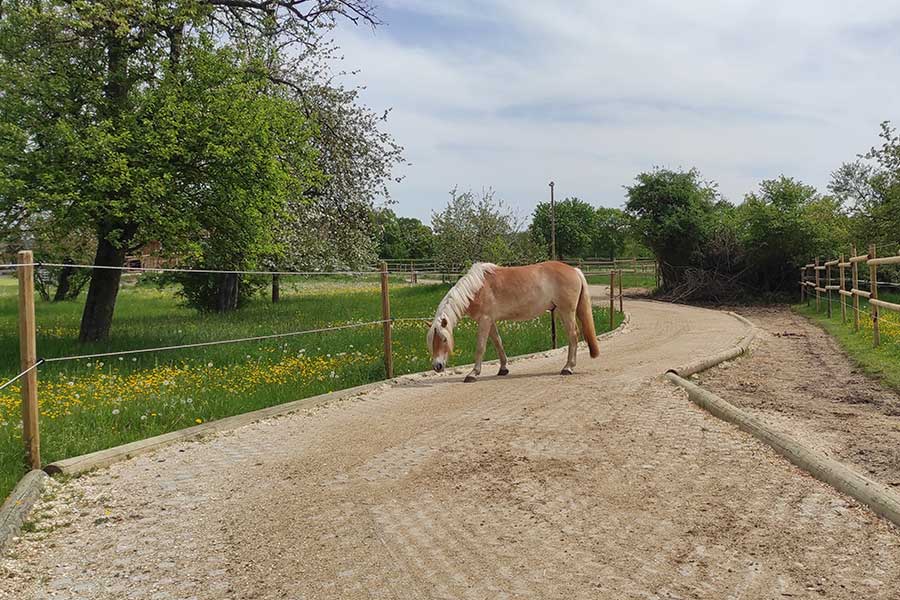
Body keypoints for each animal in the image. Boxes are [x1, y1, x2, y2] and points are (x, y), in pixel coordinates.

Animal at [428, 260, 600, 382]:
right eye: (430, 342)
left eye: (444, 339)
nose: (437, 366)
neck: (477, 290)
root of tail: (574, 270)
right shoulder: (490, 321)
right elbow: (498, 343)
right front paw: (503, 369)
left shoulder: (484, 321)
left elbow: (480, 347)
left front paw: (473, 373)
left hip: (566, 312)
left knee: (573, 336)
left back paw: (568, 368)